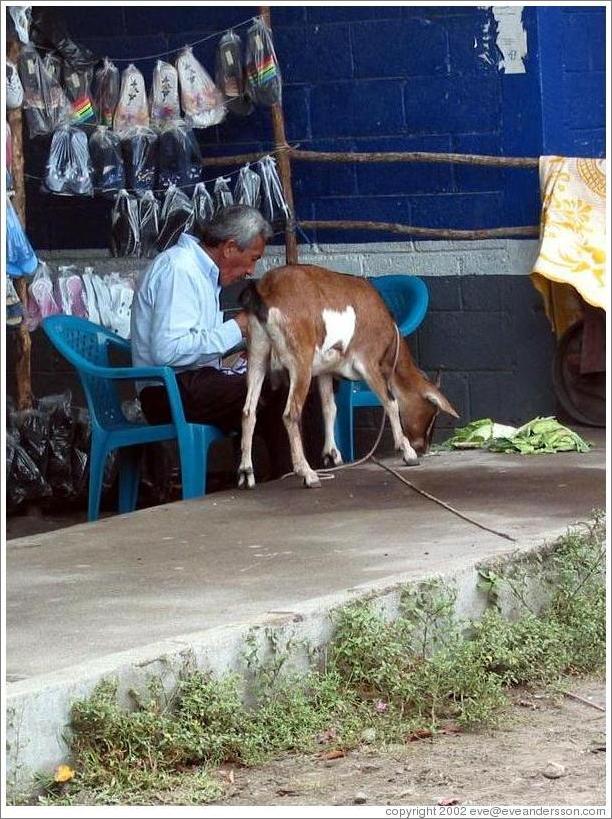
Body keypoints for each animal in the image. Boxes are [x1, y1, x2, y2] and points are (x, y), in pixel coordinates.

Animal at [237, 266, 456, 490]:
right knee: (290, 414)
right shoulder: (367, 362)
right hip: (300, 361)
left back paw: (247, 473)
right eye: (432, 411)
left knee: (248, 412)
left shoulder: (324, 371)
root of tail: (266, 291)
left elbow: (329, 408)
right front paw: (407, 452)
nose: (424, 447)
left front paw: (332, 455)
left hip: (257, 354)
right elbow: (390, 401)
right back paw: (308, 474)